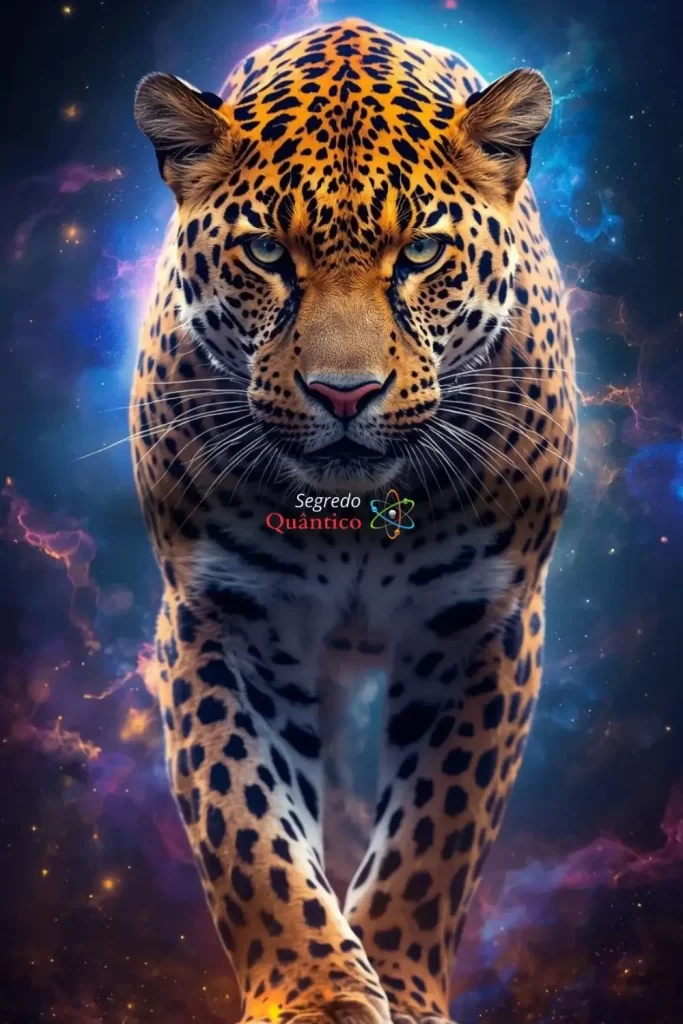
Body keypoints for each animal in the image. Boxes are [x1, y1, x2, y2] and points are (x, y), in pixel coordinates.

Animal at [131, 17, 576, 1024]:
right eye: (266, 254)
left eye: (418, 254)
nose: (343, 394)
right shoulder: (223, 616)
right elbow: (246, 826)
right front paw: (318, 992)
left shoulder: (483, 620)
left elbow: (435, 834)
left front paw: (400, 985)